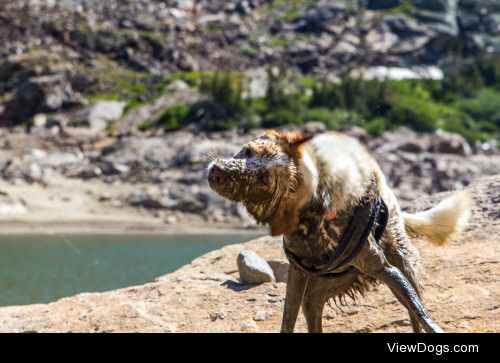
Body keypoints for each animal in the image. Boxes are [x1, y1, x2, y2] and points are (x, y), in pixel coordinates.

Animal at [205, 130, 470, 332]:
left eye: (264, 179)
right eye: (247, 151)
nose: (218, 172)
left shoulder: (388, 271)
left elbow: (420, 313)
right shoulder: (297, 274)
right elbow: (288, 320)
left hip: (403, 264)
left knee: (413, 312)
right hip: (317, 292)